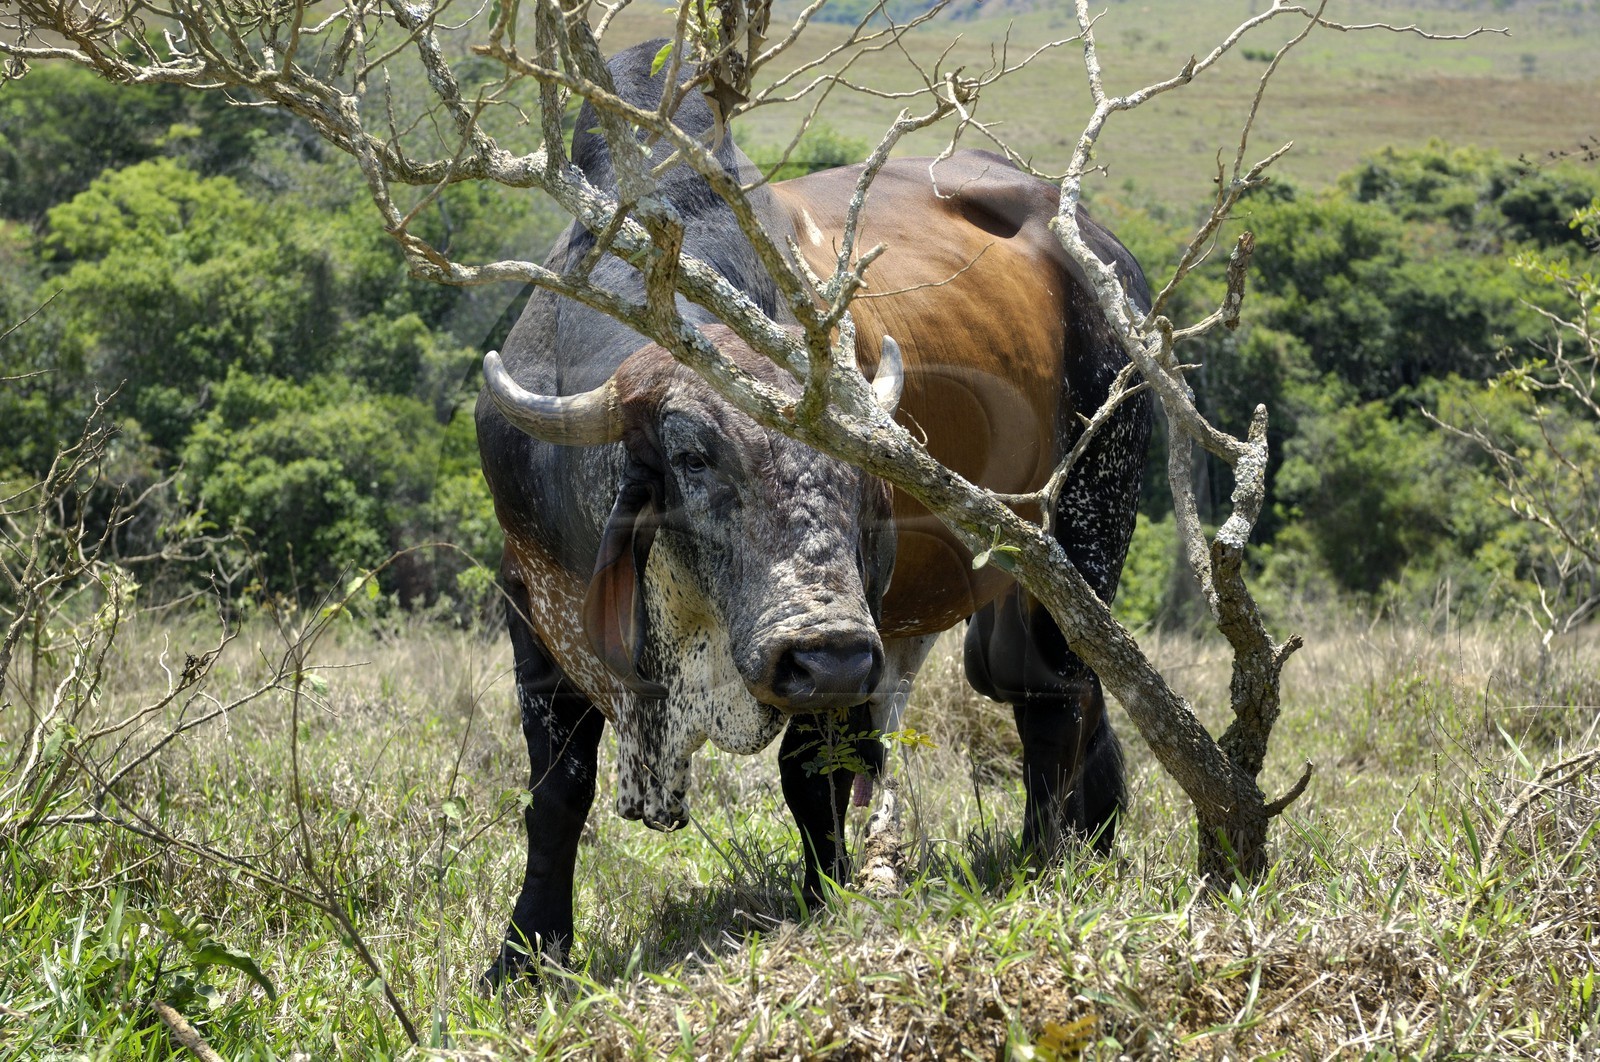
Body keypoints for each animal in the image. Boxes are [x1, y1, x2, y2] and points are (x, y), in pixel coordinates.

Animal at [475, 39, 1152, 983]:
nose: (822, 646)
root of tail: (1107, 256)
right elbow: (557, 793)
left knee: (1056, 691)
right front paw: (527, 952)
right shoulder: (532, 610)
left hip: (1088, 526)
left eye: (865, 466)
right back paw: (1088, 837)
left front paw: (820, 903)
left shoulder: (847, 649)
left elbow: (812, 773)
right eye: (692, 457)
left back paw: (1046, 857)